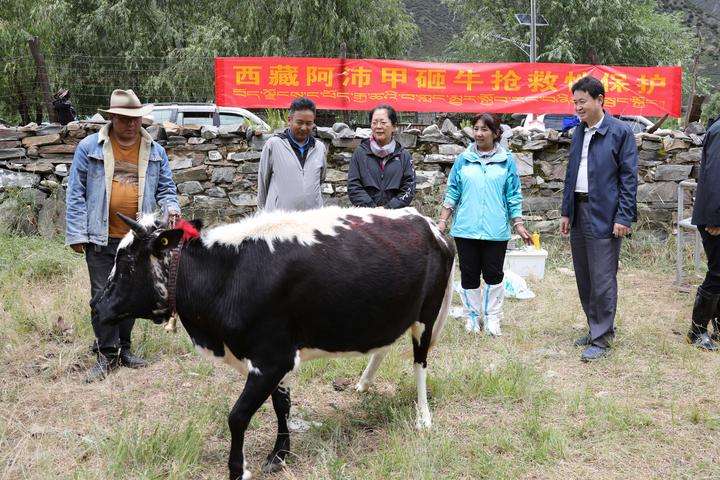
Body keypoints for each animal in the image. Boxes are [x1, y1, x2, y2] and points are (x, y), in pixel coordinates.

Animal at [91, 206, 456, 480]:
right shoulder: (275, 357)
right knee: (383, 345)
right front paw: (279, 454)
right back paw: (364, 383)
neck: (228, 274)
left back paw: (423, 417)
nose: (96, 306)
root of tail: (428, 224)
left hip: (427, 313)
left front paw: (238, 470)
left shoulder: (272, 358)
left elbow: (238, 416)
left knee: (420, 362)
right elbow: (282, 404)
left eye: (127, 265)